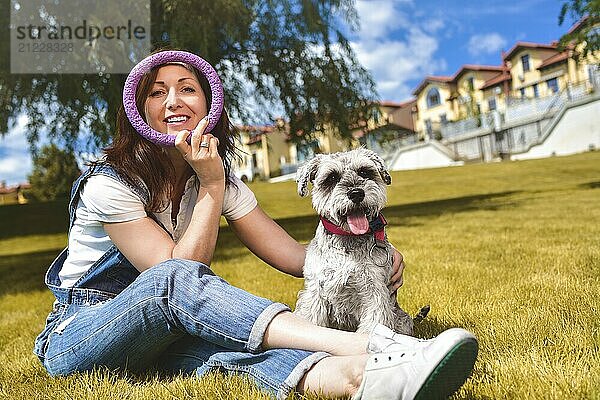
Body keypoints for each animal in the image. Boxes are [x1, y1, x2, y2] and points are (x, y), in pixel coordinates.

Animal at [294, 147, 418, 334]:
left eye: (364, 172)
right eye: (331, 177)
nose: (356, 193)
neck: (347, 241)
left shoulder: (374, 291)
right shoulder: (315, 292)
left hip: (403, 321)